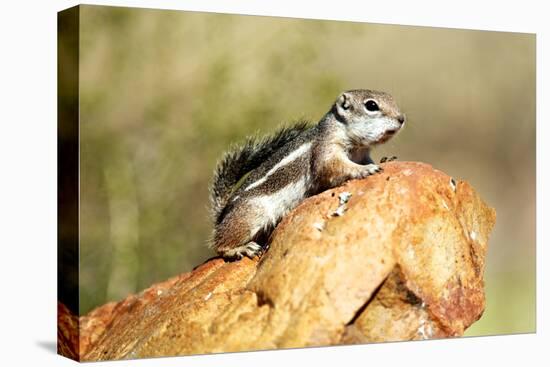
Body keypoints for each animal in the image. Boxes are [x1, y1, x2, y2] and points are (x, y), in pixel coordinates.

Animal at [209, 90, 408, 260]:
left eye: (391, 97)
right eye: (371, 105)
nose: (401, 119)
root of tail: (223, 215)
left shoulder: (363, 154)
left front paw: (384, 160)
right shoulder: (325, 151)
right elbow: (333, 168)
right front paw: (364, 170)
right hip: (251, 214)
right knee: (220, 244)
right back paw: (240, 249)